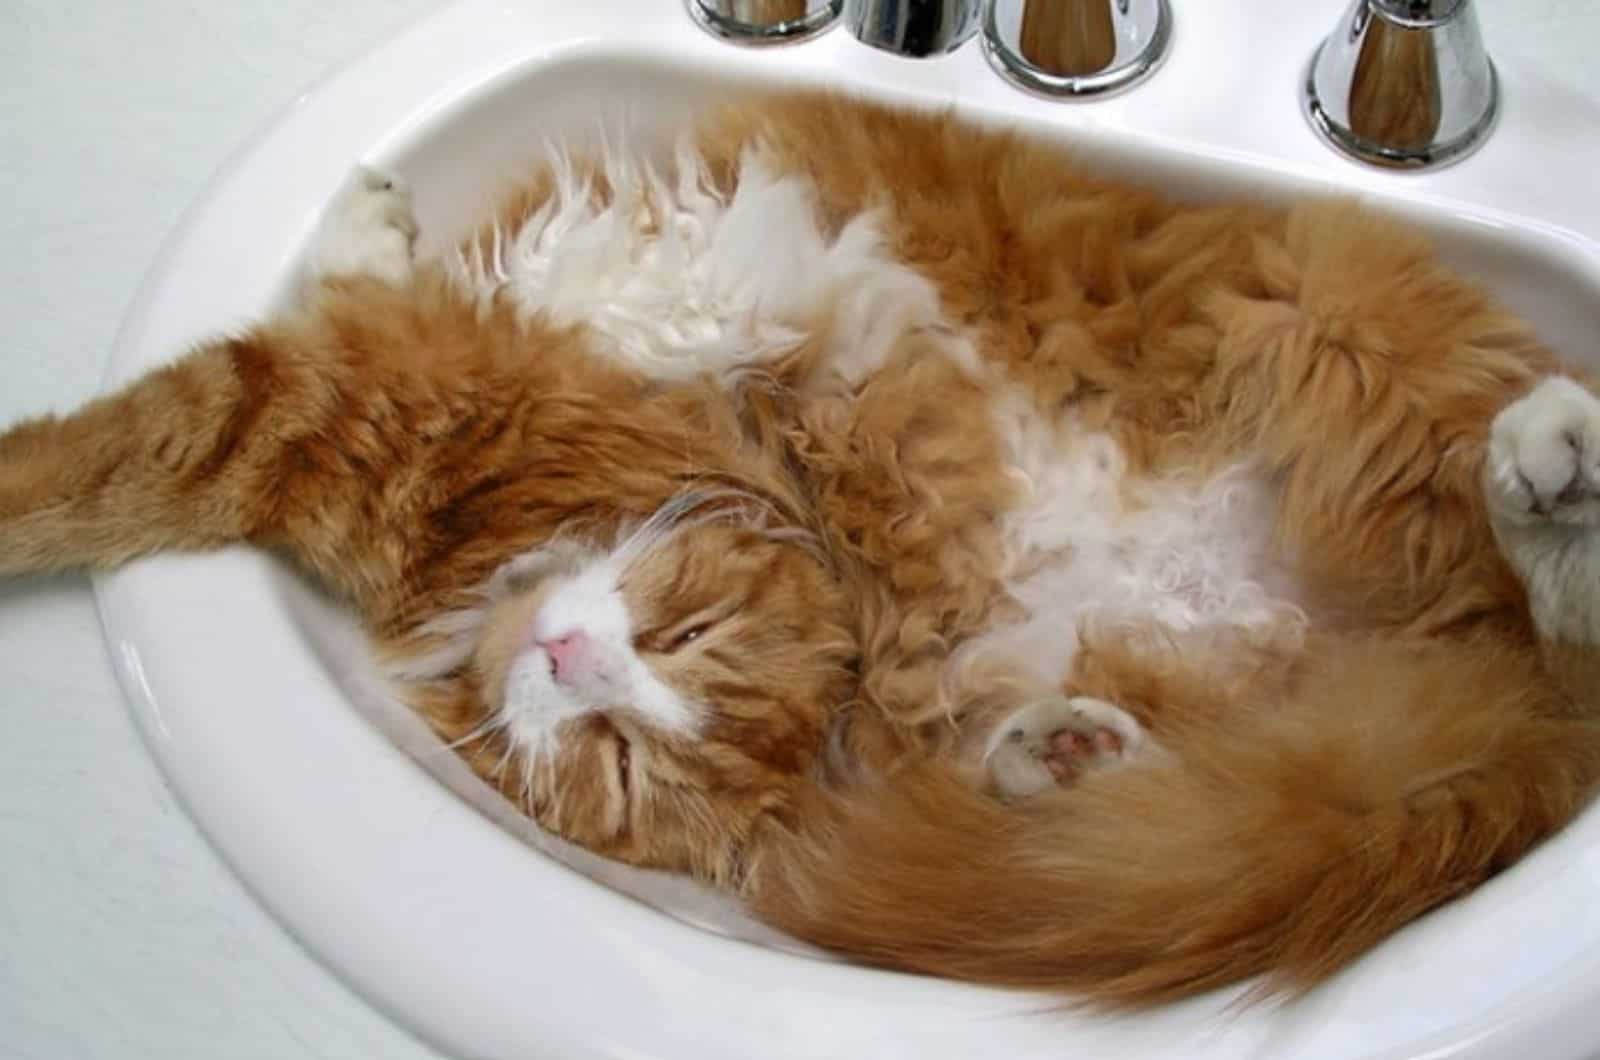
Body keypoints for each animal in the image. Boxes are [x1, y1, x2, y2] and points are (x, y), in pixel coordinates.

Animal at [3, 89, 1600, 1005]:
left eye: (630, 748)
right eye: (674, 648)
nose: (568, 657)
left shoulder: (342, 407)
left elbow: (115, 453)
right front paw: (372, 210)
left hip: (1348, 355)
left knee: (1551, 616)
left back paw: (1552, 469)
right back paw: (1067, 752)